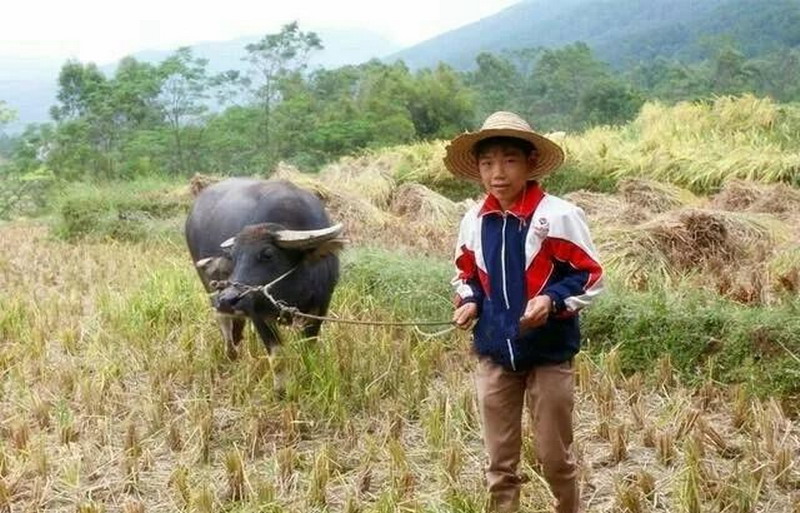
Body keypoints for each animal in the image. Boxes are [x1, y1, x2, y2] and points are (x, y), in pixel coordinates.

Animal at [186, 178, 346, 390]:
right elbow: (277, 358)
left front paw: (308, 379)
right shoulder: (258, 314)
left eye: (268, 254)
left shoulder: (320, 306)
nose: (228, 299)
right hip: (210, 286)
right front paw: (281, 392)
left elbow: (308, 349)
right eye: (234, 257)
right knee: (223, 320)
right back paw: (231, 354)